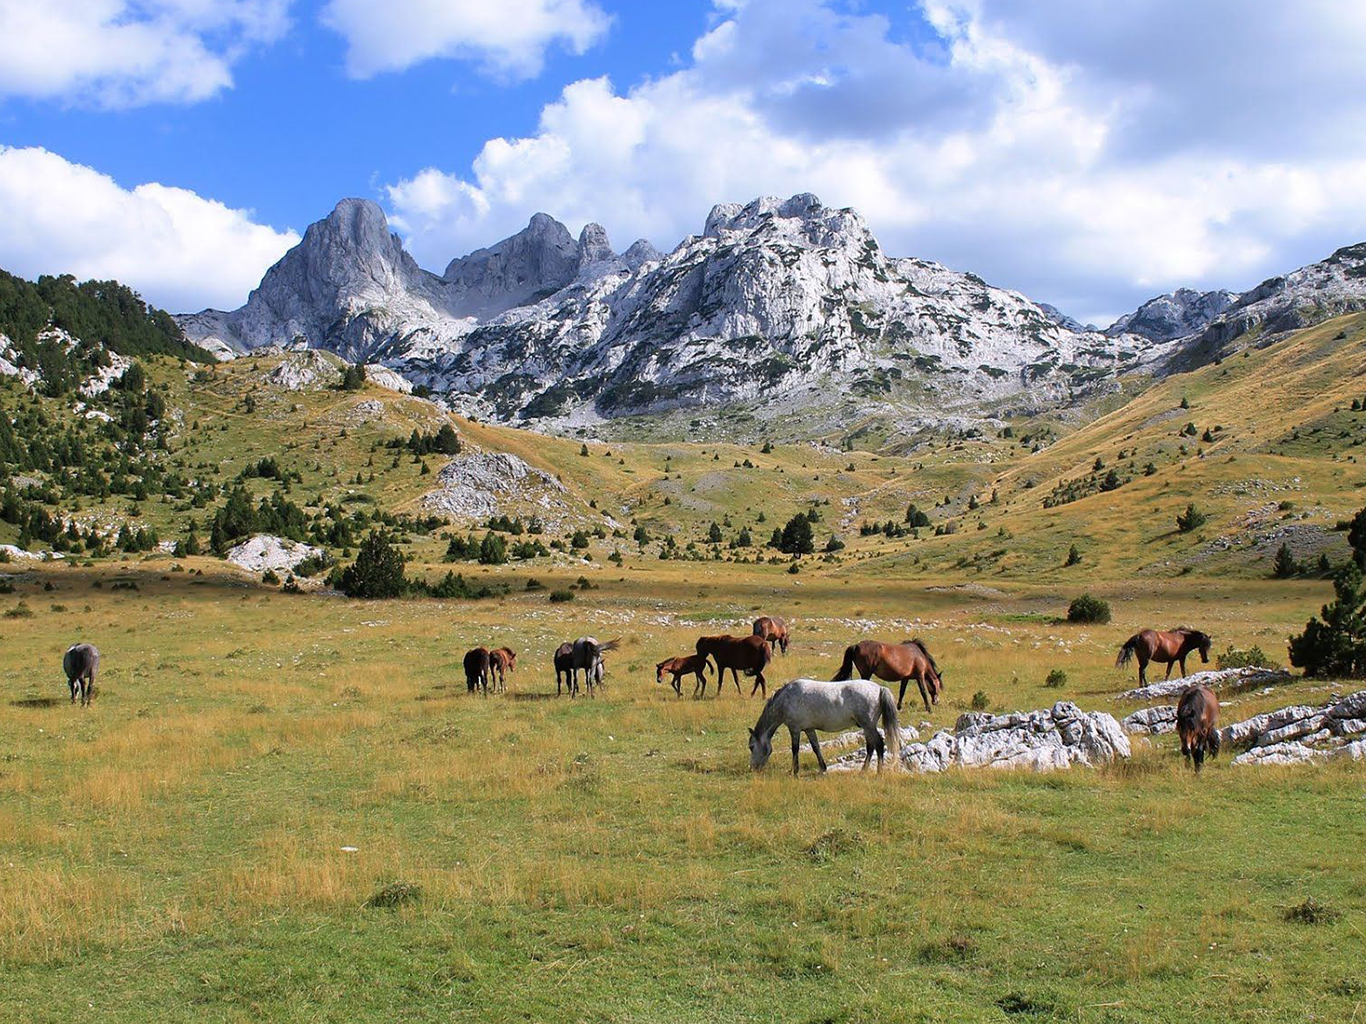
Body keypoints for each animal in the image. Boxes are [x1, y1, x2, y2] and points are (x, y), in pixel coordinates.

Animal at [754, 682, 901, 775]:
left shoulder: (794, 729)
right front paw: (822, 768)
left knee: (879, 745)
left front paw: (794, 771)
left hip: (869, 726)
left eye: (751, 746)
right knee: (871, 747)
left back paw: (879, 772)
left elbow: (795, 749)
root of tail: (880, 688)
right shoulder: (809, 729)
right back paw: (863, 771)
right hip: (866, 727)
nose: (753, 768)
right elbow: (816, 747)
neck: (786, 698)